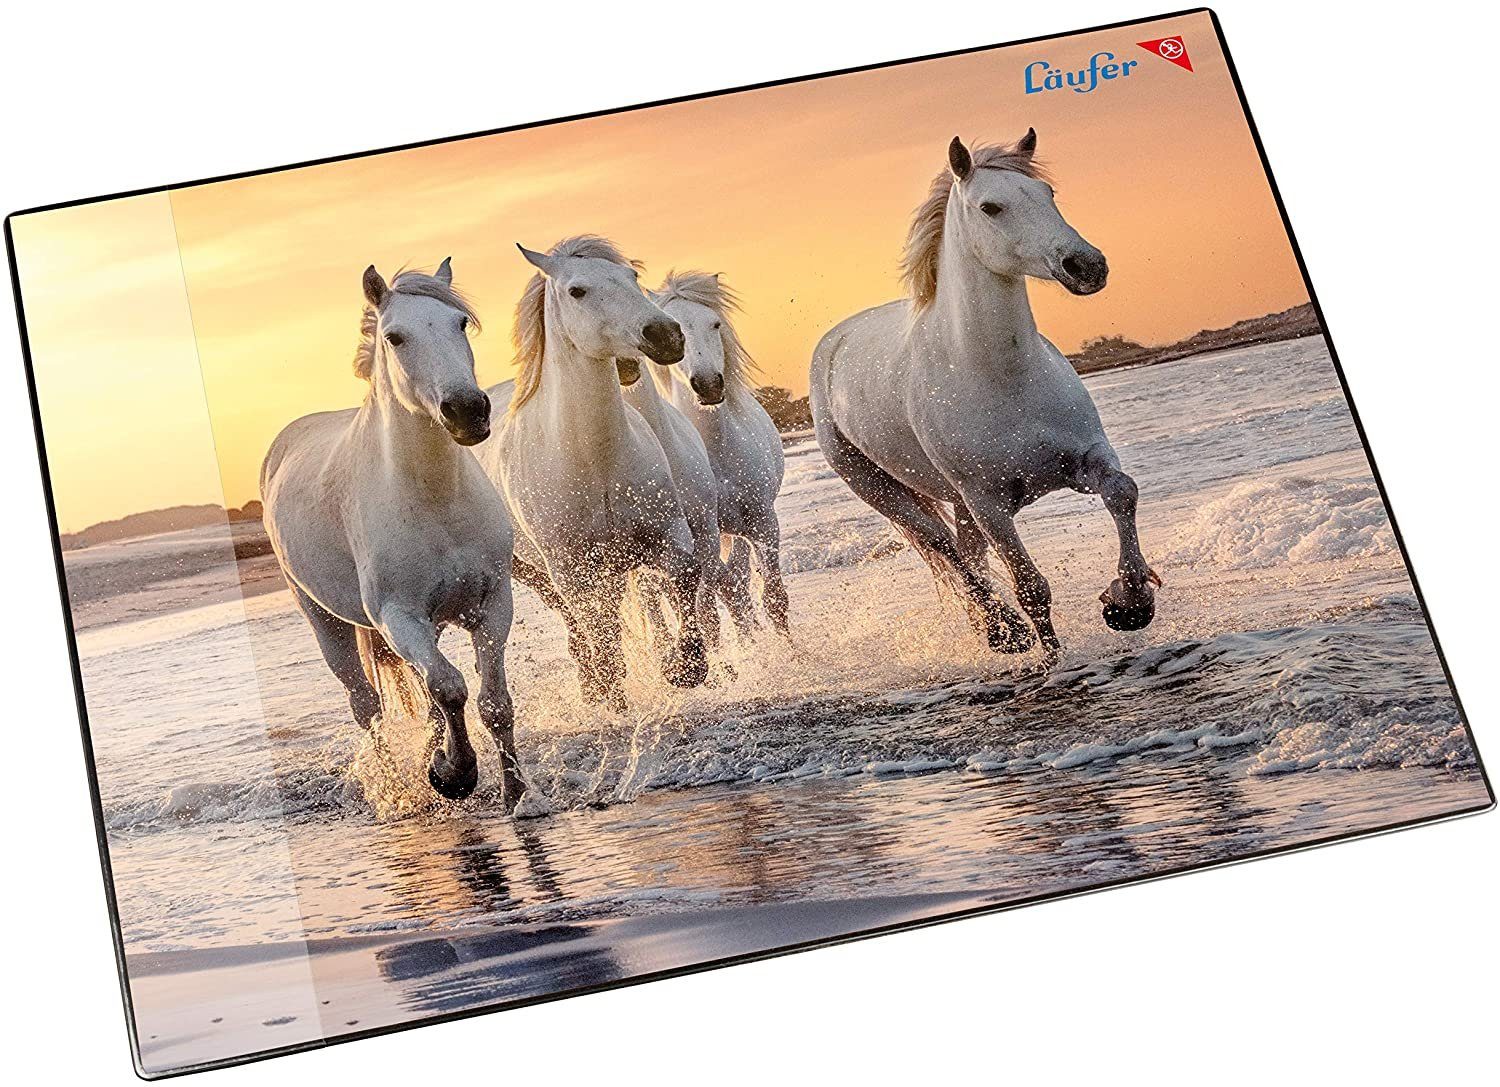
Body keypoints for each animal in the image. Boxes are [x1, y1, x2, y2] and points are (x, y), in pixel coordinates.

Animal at [261, 259, 526, 810]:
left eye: (460, 324)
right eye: (394, 337)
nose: (467, 411)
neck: (435, 501)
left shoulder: (493, 602)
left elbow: (492, 702)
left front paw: (517, 794)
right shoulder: (399, 617)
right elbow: (449, 688)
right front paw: (454, 775)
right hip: (326, 623)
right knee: (368, 708)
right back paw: (391, 788)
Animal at [473, 235, 708, 711]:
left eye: (631, 276)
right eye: (577, 291)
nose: (666, 335)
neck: (594, 463)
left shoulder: (667, 533)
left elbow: (685, 575)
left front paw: (685, 666)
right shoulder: (570, 568)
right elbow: (596, 626)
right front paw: (612, 690)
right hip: (535, 572)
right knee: (576, 622)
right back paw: (594, 684)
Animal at [647, 272, 789, 635]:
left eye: (715, 324)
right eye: (677, 329)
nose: (709, 384)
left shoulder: (762, 522)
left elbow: (774, 600)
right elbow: (714, 604)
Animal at [809, 131, 1160, 655]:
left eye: (1047, 194)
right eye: (990, 207)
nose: (1086, 265)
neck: (1003, 377)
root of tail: (833, 344)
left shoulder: (1085, 459)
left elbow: (1123, 492)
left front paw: (1130, 601)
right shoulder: (987, 502)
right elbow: (1031, 588)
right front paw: (1051, 654)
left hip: (955, 501)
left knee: (966, 551)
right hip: (880, 488)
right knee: (945, 548)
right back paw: (1002, 630)